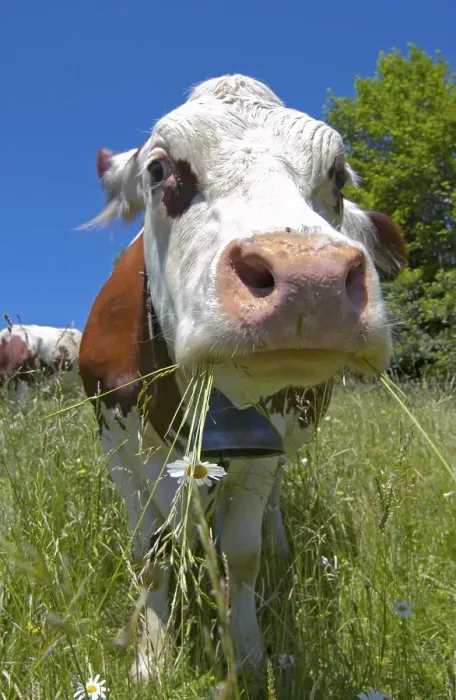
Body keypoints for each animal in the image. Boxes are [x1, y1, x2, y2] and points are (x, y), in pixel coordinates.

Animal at [79, 74, 406, 682]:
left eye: (337, 174)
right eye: (159, 169)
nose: (310, 280)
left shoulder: (264, 443)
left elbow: (242, 553)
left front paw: (250, 653)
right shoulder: (116, 441)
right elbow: (151, 552)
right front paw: (151, 657)